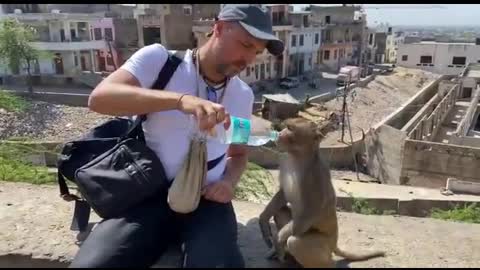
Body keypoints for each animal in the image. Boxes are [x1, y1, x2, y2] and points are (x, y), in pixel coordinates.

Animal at [256, 117, 384, 268]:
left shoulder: (314, 176)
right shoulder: (285, 161)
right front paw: (263, 221)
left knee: (295, 242)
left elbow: (309, 212)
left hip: (324, 244)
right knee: (280, 211)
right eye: (286, 127)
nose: (280, 133)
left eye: (290, 128)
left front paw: (277, 239)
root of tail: (334, 243)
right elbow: (283, 194)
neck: (298, 157)